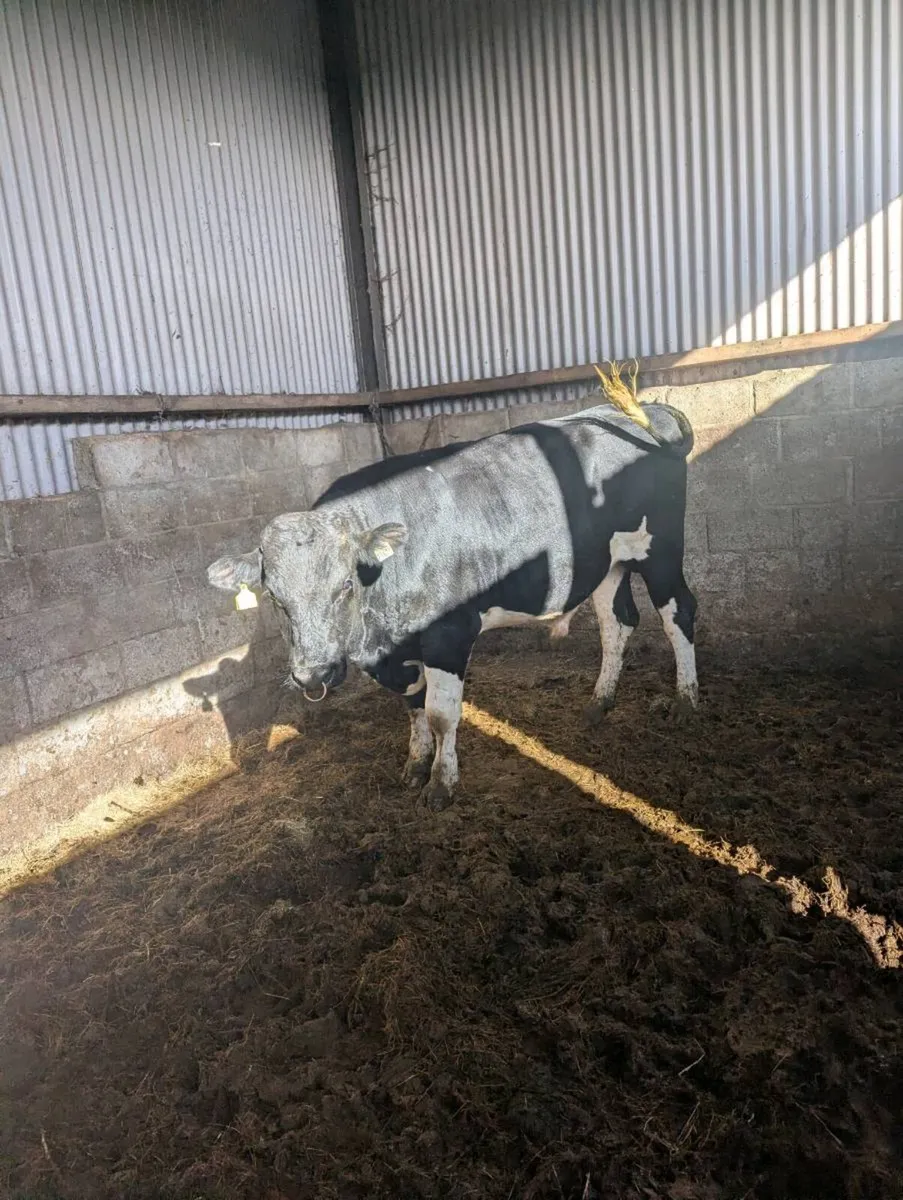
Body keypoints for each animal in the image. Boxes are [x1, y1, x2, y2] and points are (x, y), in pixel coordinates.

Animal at [206, 399, 697, 809]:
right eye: (274, 596)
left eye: (345, 584)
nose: (313, 674)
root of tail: (642, 410)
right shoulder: (400, 652)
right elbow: (413, 707)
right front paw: (415, 765)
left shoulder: (448, 636)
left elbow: (441, 714)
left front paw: (442, 783)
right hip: (609, 564)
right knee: (618, 623)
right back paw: (599, 702)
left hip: (661, 551)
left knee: (679, 614)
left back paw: (685, 701)